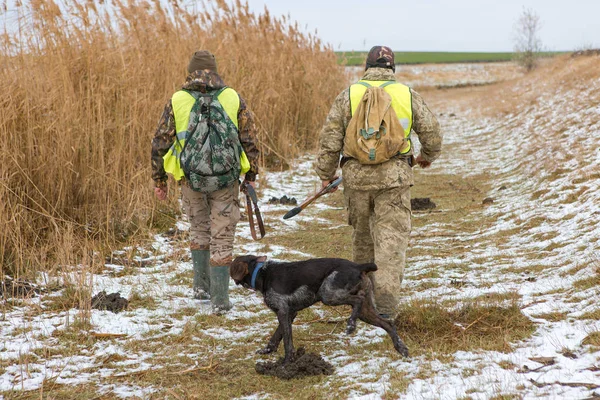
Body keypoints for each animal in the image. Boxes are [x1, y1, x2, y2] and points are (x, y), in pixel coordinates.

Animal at [230, 255, 408, 364]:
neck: (262, 273)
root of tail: (358, 266)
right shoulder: (289, 313)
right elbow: (276, 336)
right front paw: (268, 350)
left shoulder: (283, 311)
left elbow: (287, 342)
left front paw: (287, 363)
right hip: (366, 312)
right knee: (388, 324)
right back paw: (401, 348)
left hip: (328, 294)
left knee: (358, 299)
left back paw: (351, 325)